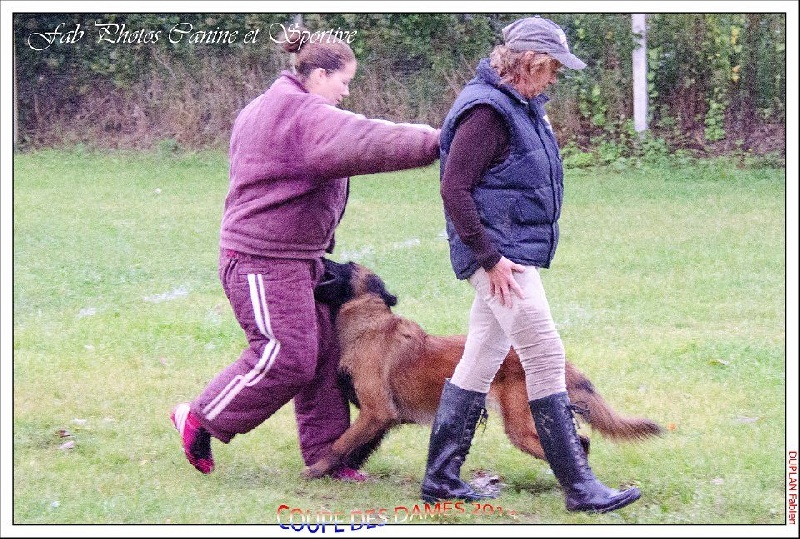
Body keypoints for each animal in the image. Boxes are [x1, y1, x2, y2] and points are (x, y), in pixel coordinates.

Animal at [306, 262, 664, 480]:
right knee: (581, 443)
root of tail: (559, 361)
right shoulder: (382, 419)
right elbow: (356, 448)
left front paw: (317, 468)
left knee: (574, 444)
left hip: (519, 425)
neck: (368, 321)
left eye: (346, 265)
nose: (323, 253)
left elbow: (340, 443)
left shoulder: (376, 412)